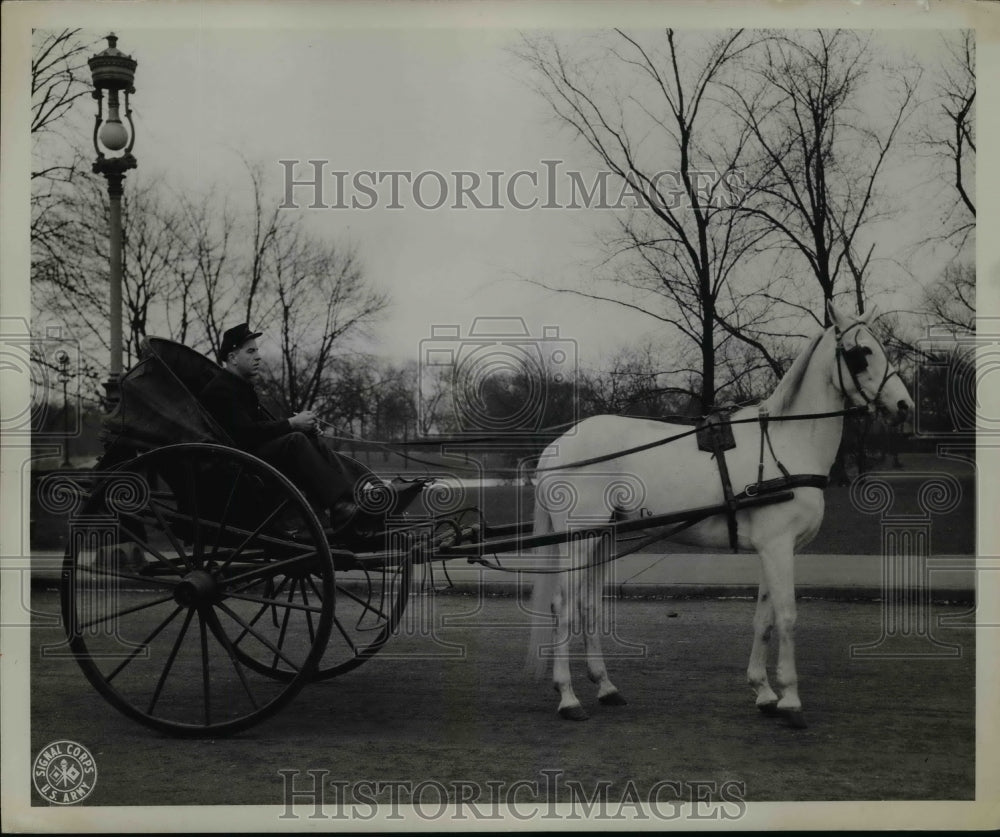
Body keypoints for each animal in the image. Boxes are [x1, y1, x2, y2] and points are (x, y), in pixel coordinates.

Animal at [532, 306, 916, 724]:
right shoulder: (778, 546)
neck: (786, 442)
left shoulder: (774, 549)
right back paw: (568, 697)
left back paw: (605, 686)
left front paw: (764, 691)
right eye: (861, 353)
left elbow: (764, 618)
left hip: (602, 537)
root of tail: (557, 447)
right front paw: (791, 700)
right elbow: (787, 616)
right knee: (563, 608)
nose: (905, 407)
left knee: (588, 606)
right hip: (578, 538)